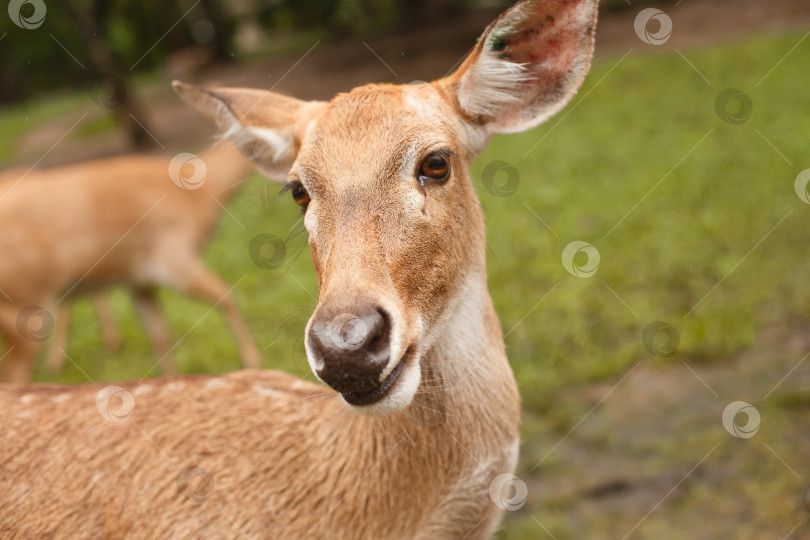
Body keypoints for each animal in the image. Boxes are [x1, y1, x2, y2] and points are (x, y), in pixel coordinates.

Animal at [0, 139, 260, 384]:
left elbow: (160, 335)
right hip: (23, 309)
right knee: (14, 377)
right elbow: (226, 294)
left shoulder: (140, 280)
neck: (202, 193)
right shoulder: (174, 258)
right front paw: (251, 359)